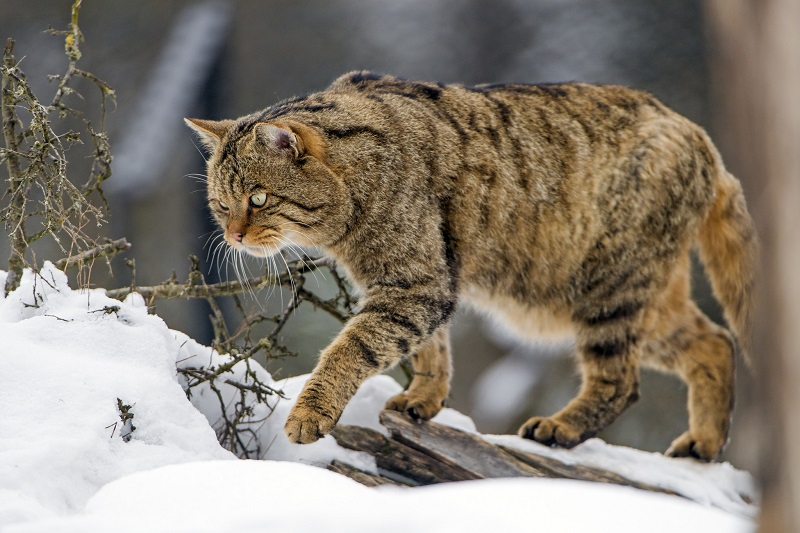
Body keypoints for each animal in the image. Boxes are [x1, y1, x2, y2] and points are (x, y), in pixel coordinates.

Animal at [186, 71, 756, 462]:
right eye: (220, 204)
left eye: (259, 199)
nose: (233, 235)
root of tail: (703, 140)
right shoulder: (418, 283)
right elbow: (429, 349)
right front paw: (424, 398)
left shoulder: (416, 283)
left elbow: (354, 347)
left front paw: (311, 412)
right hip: (631, 297)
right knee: (715, 342)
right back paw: (705, 443)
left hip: (605, 291)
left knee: (622, 382)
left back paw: (563, 427)